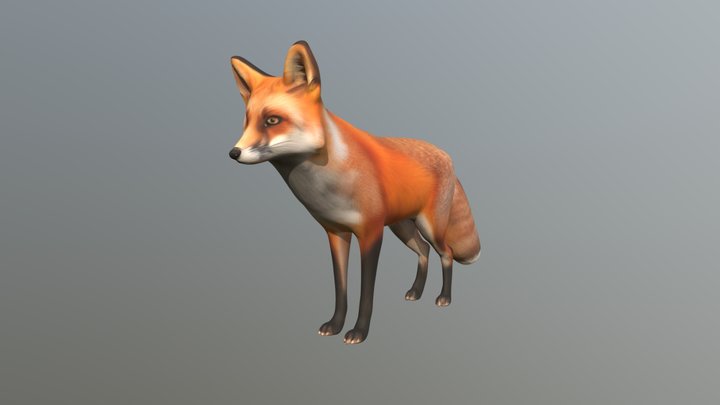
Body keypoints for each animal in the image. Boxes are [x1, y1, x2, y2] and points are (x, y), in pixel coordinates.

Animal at [228, 41, 480, 344]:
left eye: (273, 120)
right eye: (247, 121)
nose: (233, 153)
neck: (329, 184)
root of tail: (445, 154)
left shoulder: (371, 234)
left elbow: (366, 293)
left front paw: (359, 331)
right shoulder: (336, 233)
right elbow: (341, 289)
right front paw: (335, 324)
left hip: (429, 227)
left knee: (446, 253)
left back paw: (444, 297)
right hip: (402, 228)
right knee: (423, 251)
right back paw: (416, 292)